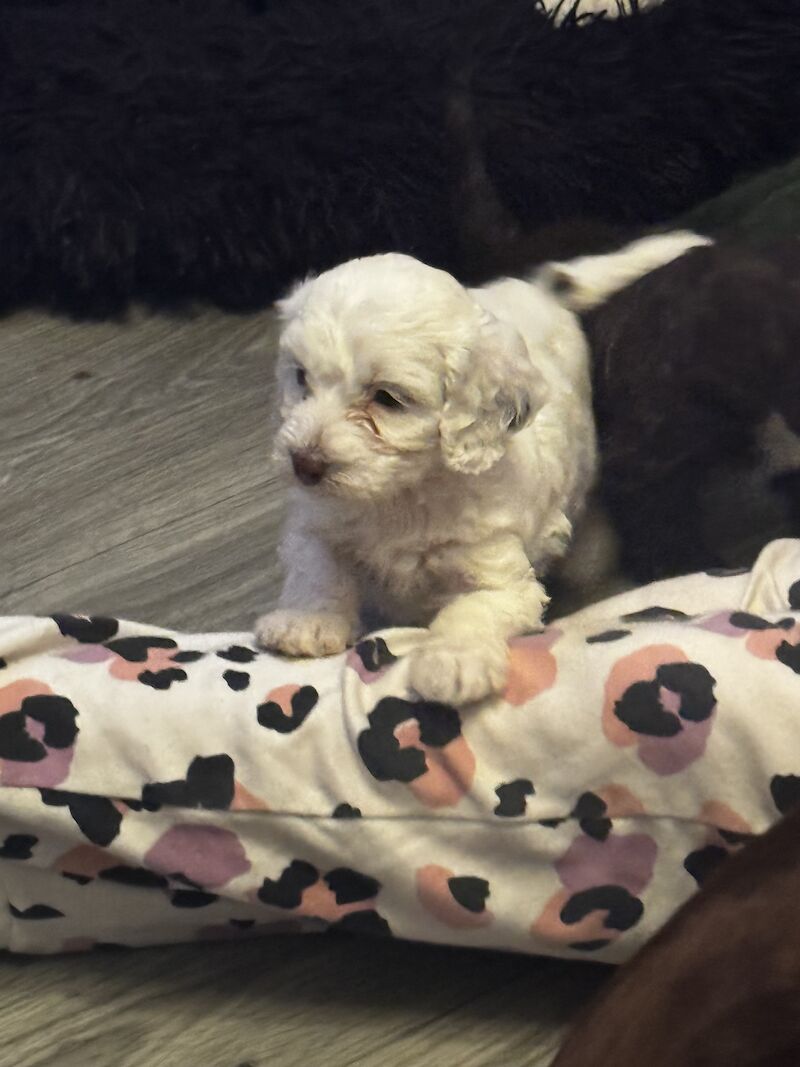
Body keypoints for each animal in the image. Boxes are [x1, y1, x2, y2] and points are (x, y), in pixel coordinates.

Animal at [254, 242, 699, 708]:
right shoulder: (318, 521)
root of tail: (540, 290)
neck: (400, 495)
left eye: (387, 399)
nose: (304, 463)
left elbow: (471, 608)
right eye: (301, 378)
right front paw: (307, 622)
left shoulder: (497, 571)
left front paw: (452, 662)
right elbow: (317, 566)